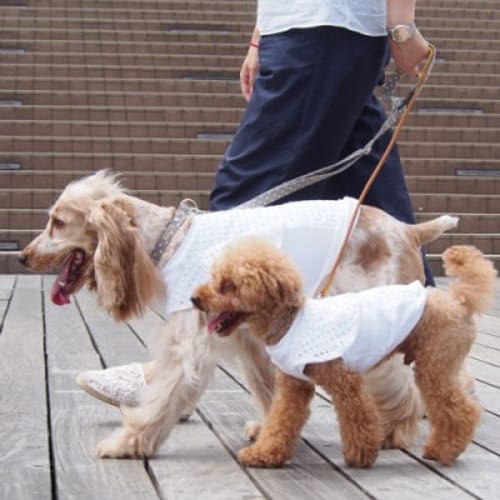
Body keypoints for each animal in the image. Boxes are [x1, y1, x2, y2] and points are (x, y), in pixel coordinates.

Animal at [19, 170, 458, 458]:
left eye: (57, 222)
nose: (23, 257)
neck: (168, 238)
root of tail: (409, 229)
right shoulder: (250, 338)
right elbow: (268, 391)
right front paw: (268, 430)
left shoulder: (193, 343)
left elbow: (163, 397)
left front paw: (126, 443)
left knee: (404, 380)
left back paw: (398, 430)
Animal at [191, 239, 496, 468]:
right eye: (215, 278)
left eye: (228, 285)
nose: (195, 298)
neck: (289, 321)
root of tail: (459, 301)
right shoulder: (294, 385)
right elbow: (280, 421)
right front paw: (264, 455)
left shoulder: (344, 381)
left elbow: (358, 417)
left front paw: (360, 456)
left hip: (434, 367)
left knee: (462, 410)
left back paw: (445, 450)